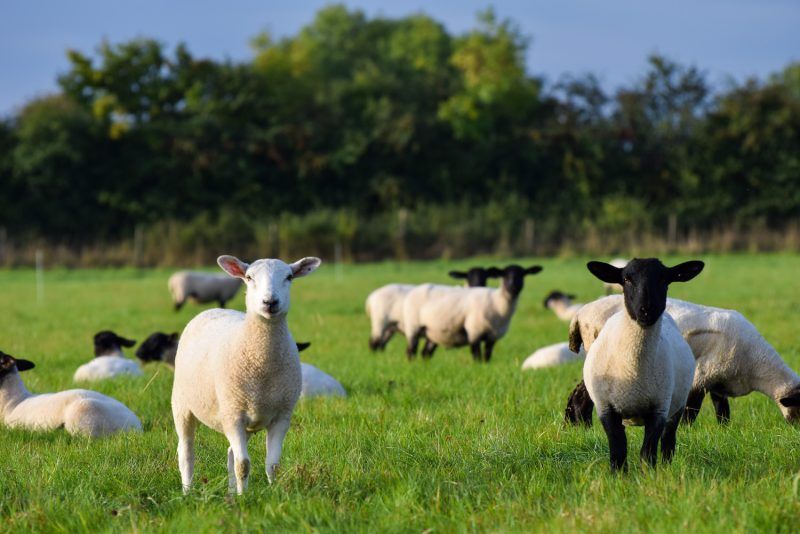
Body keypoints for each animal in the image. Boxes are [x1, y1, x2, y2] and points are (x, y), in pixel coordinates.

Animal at [171, 254, 321, 494]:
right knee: (186, 453)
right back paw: (187, 491)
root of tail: (211, 310)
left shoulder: (281, 416)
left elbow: (272, 465)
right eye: (249, 277)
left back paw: (231, 492)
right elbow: (243, 465)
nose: (270, 302)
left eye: (289, 277)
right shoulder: (233, 416)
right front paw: (245, 498)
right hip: (182, 405)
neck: (262, 365)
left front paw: (272, 493)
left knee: (230, 454)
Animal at [402, 265, 542, 362]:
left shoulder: (493, 336)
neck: (497, 302)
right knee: (411, 351)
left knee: (425, 353)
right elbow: (477, 356)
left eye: (522, 274)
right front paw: (478, 367)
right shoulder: (474, 330)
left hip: (433, 332)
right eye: (505, 275)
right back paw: (411, 364)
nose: (512, 286)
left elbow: (487, 356)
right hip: (413, 326)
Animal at [565, 294, 800, 426]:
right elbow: (691, 411)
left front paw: (723, 430)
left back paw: (573, 425)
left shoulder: (719, 382)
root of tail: (580, 314)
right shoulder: (702, 374)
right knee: (581, 396)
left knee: (577, 393)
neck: (756, 365)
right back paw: (582, 426)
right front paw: (687, 431)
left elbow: (722, 412)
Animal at [581, 258, 703, 471]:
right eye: (626, 279)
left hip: (677, 405)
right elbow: (618, 451)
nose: (647, 310)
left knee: (668, 442)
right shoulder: (606, 408)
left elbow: (648, 453)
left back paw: (666, 469)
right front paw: (619, 475)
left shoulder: (659, 409)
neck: (633, 371)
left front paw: (649, 476)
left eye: (664, 279)